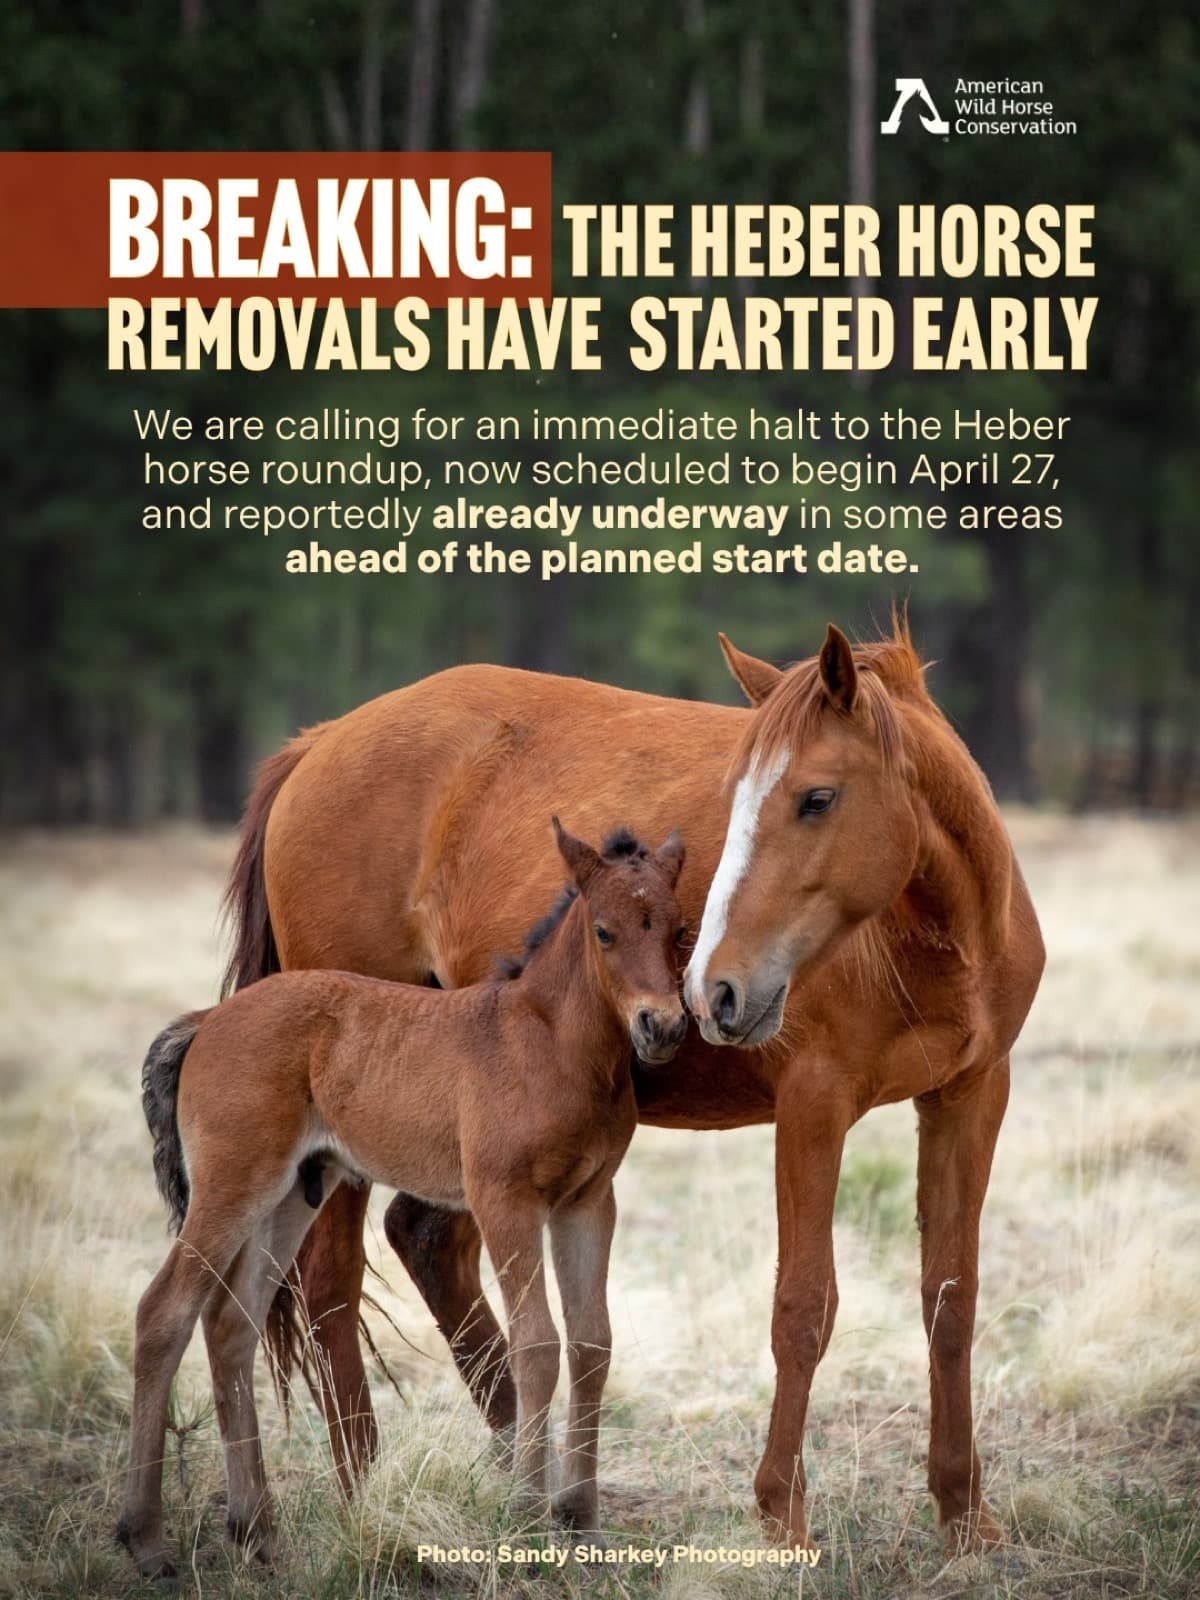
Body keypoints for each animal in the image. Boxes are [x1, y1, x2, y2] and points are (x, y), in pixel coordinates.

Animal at [118, 820, 687, 1580]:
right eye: (604, 931)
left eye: (680, 930)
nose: (663, 1027)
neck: (548, 1044)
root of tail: (206, 1020)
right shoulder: (503, 1199)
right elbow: (538, 1342)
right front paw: (527, 1522)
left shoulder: (589, 1201)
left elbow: (593, 1341)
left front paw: (582, 1524)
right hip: (233, 1181)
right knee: (165, 1312)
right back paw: (147, 1541)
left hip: (294, 1192)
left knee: (231, 1323)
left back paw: (258, 1530)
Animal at [222, 618, 1044, 1555]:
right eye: (737, 798)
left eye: (816, 799)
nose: (713, 990)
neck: (937, 936)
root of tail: (319, 744)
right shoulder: (814, 1107)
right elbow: (802, 1309)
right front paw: (783, 1516)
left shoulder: (970, 1098)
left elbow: (952, 1302)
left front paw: (963, 1512)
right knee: (332, 1284)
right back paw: (369, 1487)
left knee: (427, 1245)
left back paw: (521, 1460)